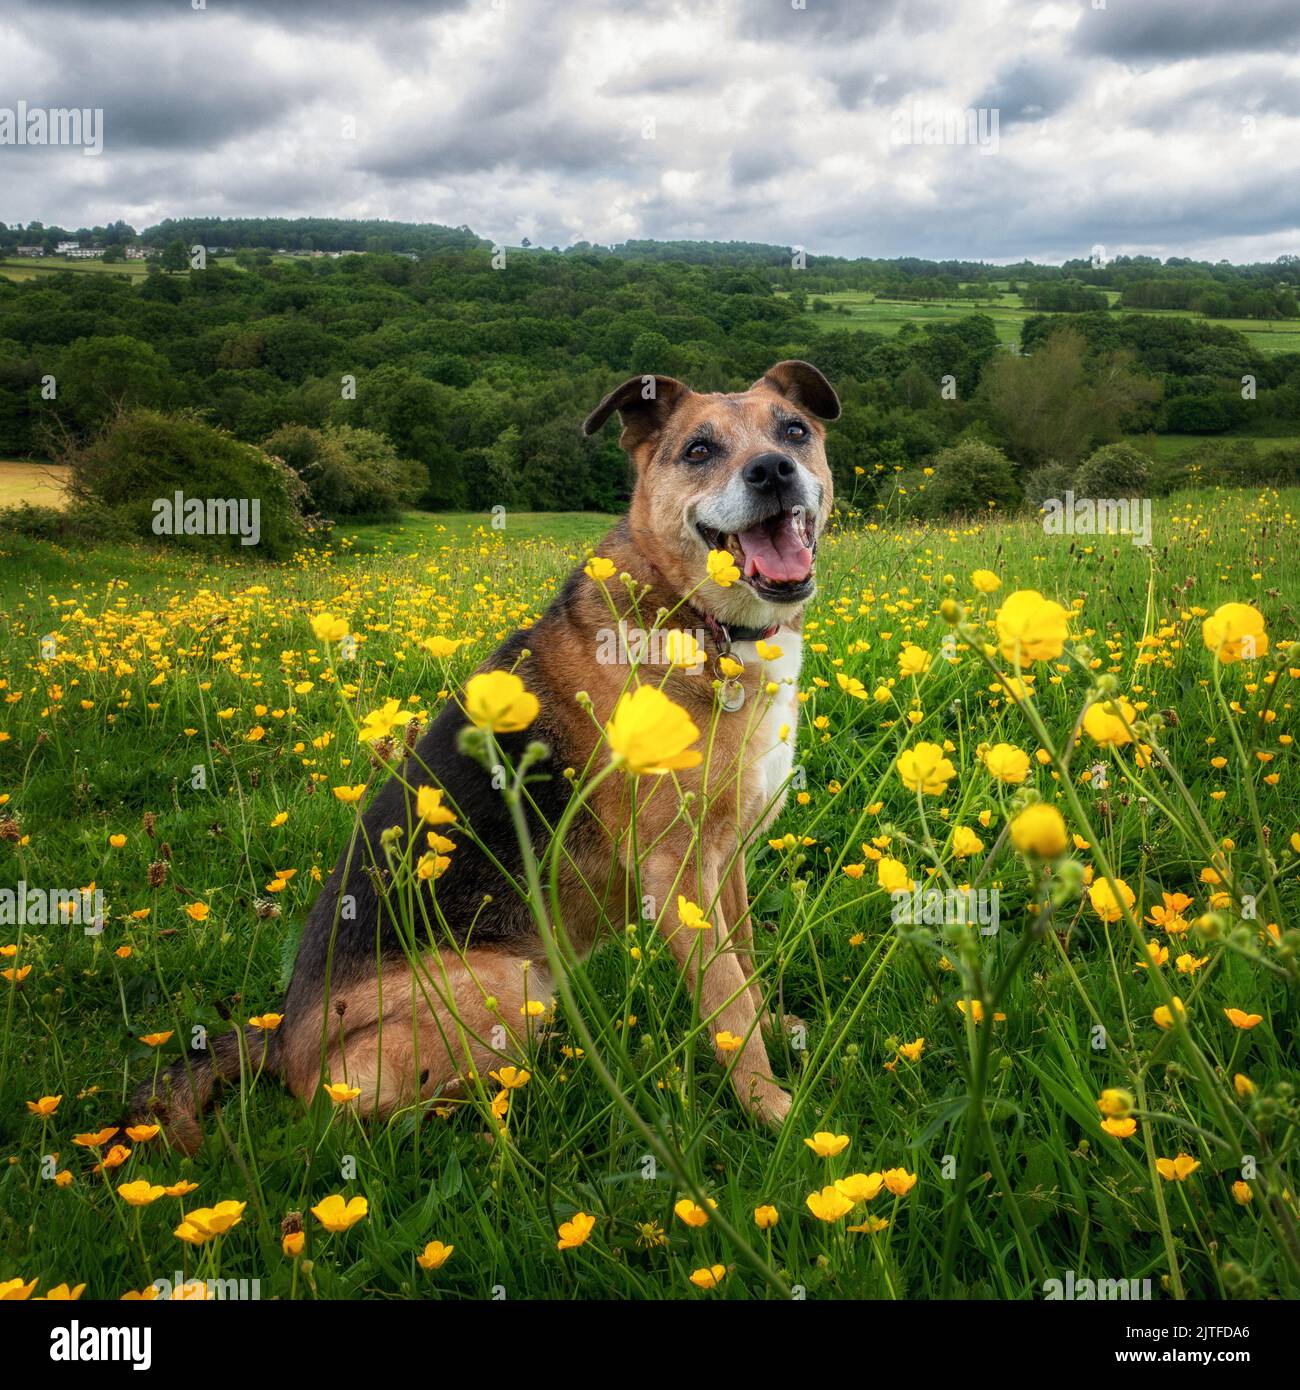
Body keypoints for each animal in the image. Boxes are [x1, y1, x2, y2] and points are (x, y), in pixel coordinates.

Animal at [134, 358, 845, 1150]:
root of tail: (281, 1040)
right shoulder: (676, 871)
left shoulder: (727, 859)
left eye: (795, 431)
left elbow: (743, 962)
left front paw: (774, 1034)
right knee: (365, 1113)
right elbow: (726, 1003)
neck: (702, 624)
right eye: (698, 450)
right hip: (507, 984)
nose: (773, 470)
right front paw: (771, 1108)